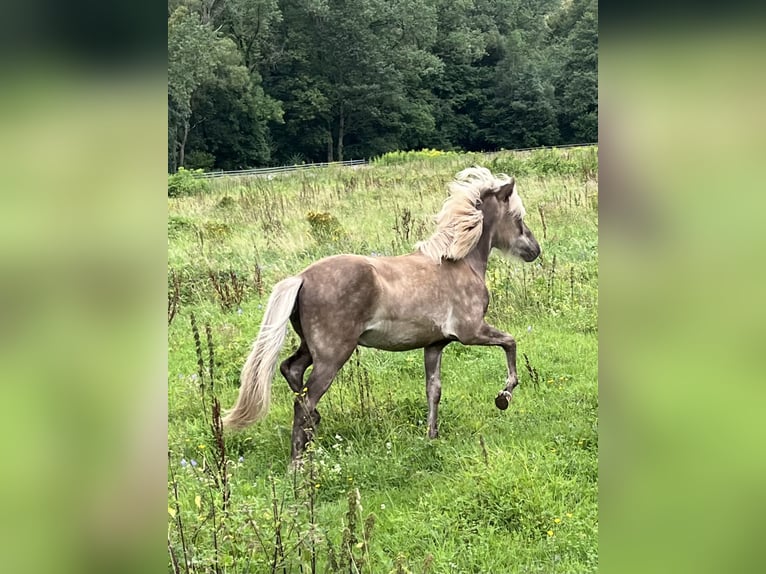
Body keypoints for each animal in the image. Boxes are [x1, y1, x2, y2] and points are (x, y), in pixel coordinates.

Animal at [225, 165, 544, 460]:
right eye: (518, 218)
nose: (534, 250)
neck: (459, 262)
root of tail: (301, 277)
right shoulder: (472, 331)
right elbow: (511, 343)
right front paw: (503, 396)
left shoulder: (434, 344)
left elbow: (433, 390)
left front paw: (432, 436)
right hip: (332, 355)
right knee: (304, 401)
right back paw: (298, 461)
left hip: (310, 347)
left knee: (291, 371)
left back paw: (312, 430)